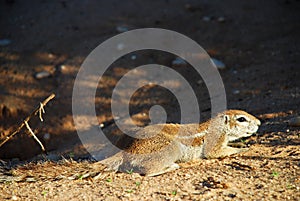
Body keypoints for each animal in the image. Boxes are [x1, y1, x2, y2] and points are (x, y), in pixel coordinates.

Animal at [100, 110, 260, 176]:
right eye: (241, 119)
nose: (259, 122)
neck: (218, 126)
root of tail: (126, 150)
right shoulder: (214, 141)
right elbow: (215, 152)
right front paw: (243, 149)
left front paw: (240, 145)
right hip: (171, 149)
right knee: (148, 172)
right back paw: (172, 166)